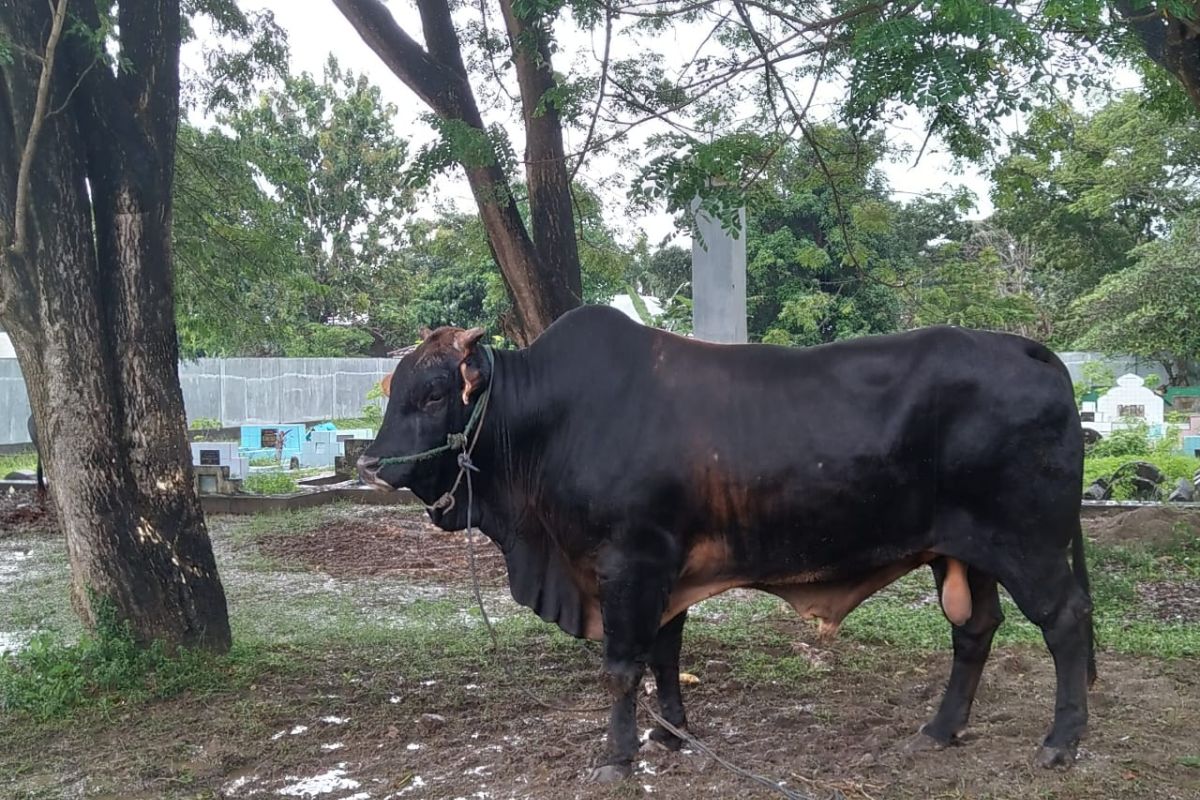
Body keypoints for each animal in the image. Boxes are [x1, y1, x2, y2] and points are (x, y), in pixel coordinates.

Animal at [357, 307, 1099, 782]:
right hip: (967, 552)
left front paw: (618, 757)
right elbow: (663, 655)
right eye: (395, 389)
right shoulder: (666, 571)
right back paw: (940, 730)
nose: (371, 465)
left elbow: (622, 665)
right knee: (975, 629)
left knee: (1065, 622)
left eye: (432, 394)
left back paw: (1060, 743)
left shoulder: (631, 561)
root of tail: (1028, 350)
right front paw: (670, 734)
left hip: (1028, 544)